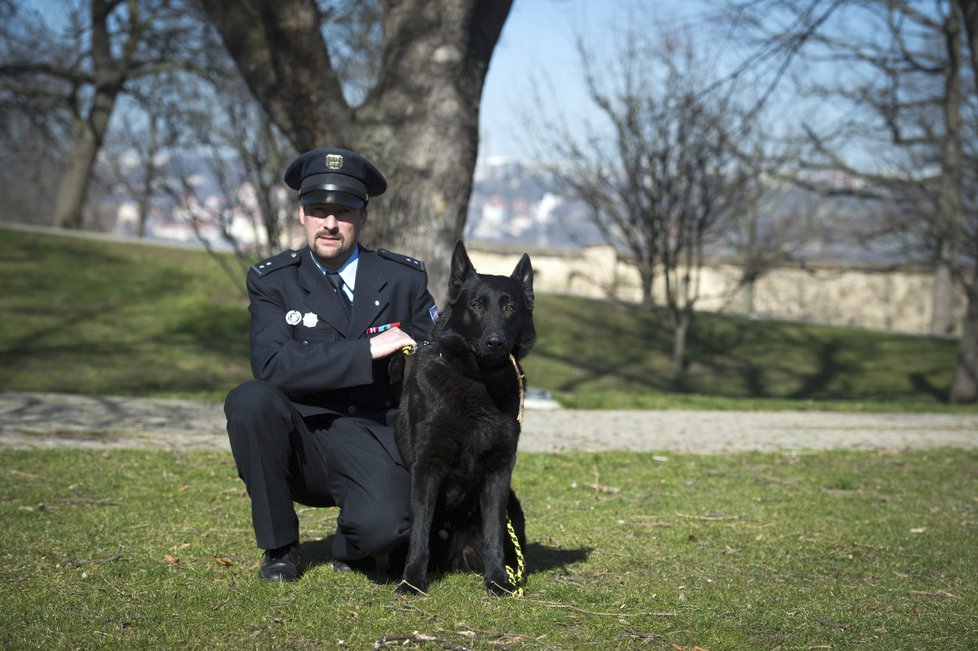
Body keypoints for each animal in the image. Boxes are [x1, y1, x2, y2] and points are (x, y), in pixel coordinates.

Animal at [392, 241, 532, 596]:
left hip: (514, 509)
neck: (478, 379)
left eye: (510, 307)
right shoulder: (427, 466)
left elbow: (494, 532)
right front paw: (412, 581)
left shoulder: (499, 470)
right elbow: (419, 533)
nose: (495, 342)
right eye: (476, 305)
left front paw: (498, 581)